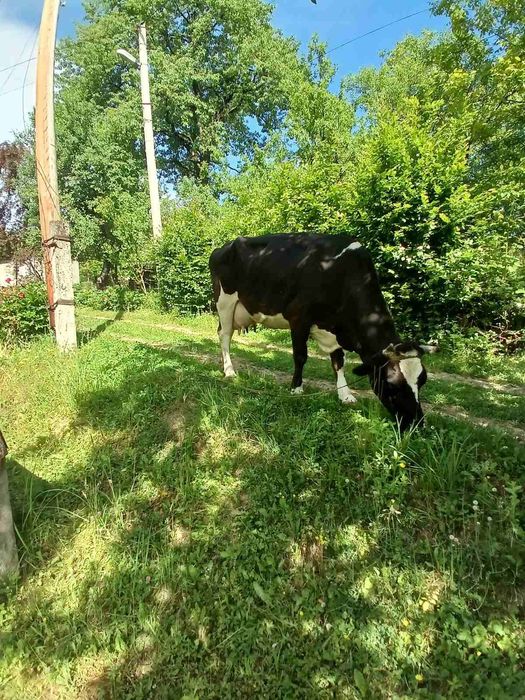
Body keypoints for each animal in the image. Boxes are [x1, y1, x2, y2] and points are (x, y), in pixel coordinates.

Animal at [209, 233, 437, 432]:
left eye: (423, 380)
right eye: (391, 383)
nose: (418, 424)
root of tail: (222, 248)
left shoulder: (335, 329)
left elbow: (338, 361)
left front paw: (345, 394)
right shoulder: (298, 318)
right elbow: (300, 356)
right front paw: (296, 388)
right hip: (225, 302)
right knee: (224, 335)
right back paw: (229, 370)